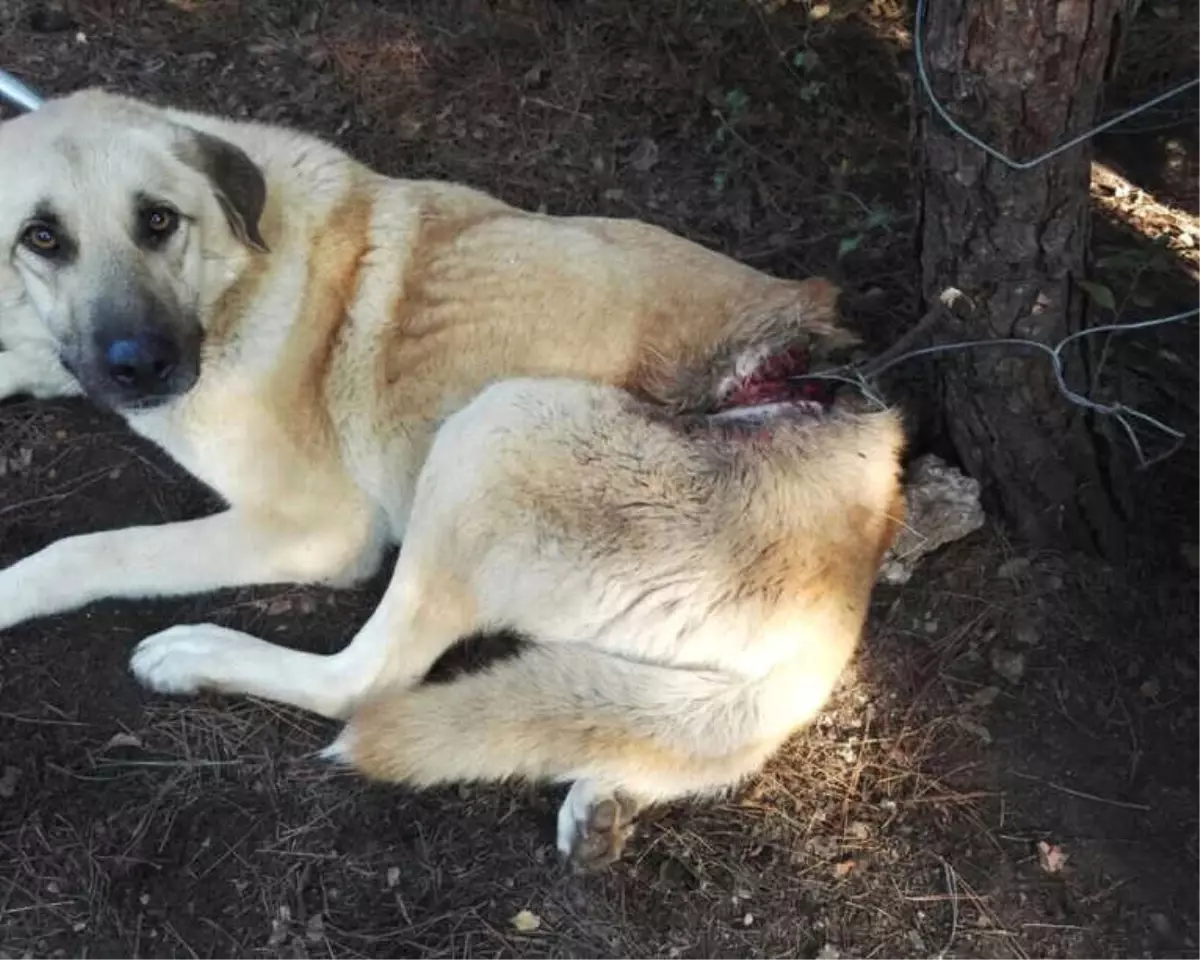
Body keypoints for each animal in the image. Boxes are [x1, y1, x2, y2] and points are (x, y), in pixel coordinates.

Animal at [0, 90, 902, 864]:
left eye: (158, 221)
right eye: (41, 238)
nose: (140, 366)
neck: (237, 271)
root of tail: (850, 577)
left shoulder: (317, 528)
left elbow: (93, 550)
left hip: (496, 431)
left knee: (364, 682)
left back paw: (198, 653)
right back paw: (604, 798)